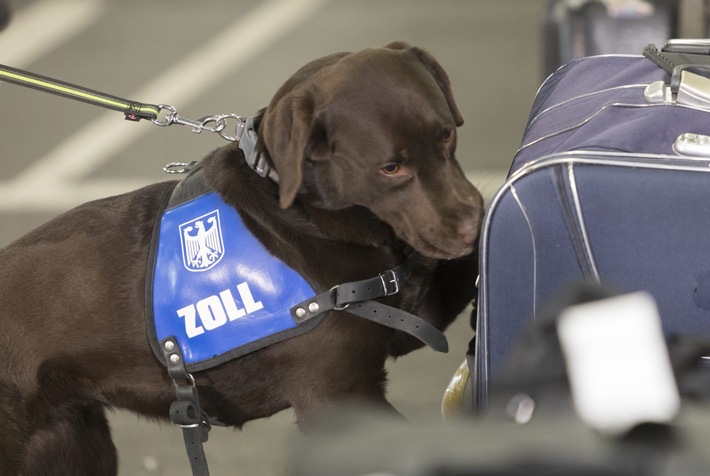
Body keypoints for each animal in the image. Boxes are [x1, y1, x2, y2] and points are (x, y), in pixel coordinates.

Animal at [0, 42, 484, 474]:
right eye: (390, 167)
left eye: (447, 134)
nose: (471, 224)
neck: (304, 214)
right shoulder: (338, 400)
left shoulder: (406, 317)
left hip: (71, 443)